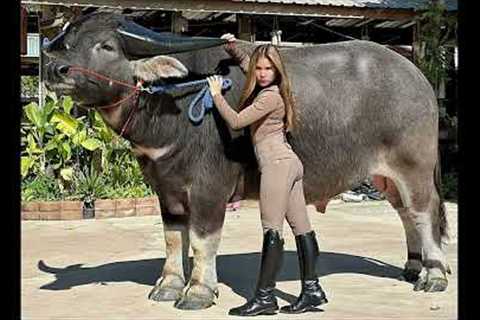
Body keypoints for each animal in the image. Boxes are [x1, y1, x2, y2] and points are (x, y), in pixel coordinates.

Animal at [42, 12, 450, 310]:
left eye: (106, 45)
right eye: (70, 42)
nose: (56, 70)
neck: (170, 100)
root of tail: (419, 79)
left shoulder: (209, 188)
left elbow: (202, 240)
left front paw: (198, 291)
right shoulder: (166, 189)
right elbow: (173, 238)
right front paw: (168, 285)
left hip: (413, 166)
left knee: (423, 211)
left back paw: (433, 275)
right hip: (385, 176)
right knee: (405, 213)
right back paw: (412, 267)